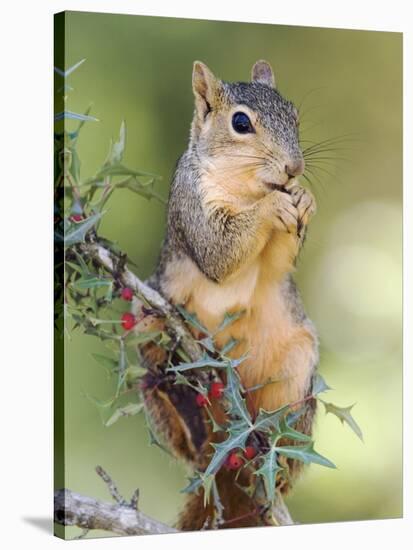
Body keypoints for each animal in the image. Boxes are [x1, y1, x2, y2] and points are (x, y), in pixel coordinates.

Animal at [137, 61, 318, 536]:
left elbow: (278, 263)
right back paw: (180, 406)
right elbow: (220, 251)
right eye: (240, 123)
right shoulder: (192, 205)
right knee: (186, 440)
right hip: (147, 323)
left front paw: (304, 197)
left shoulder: (277, 264)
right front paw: (272, 208)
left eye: (295, 116)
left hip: (297, 372)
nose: (295, 167)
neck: (249, 187)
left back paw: (271, 456)